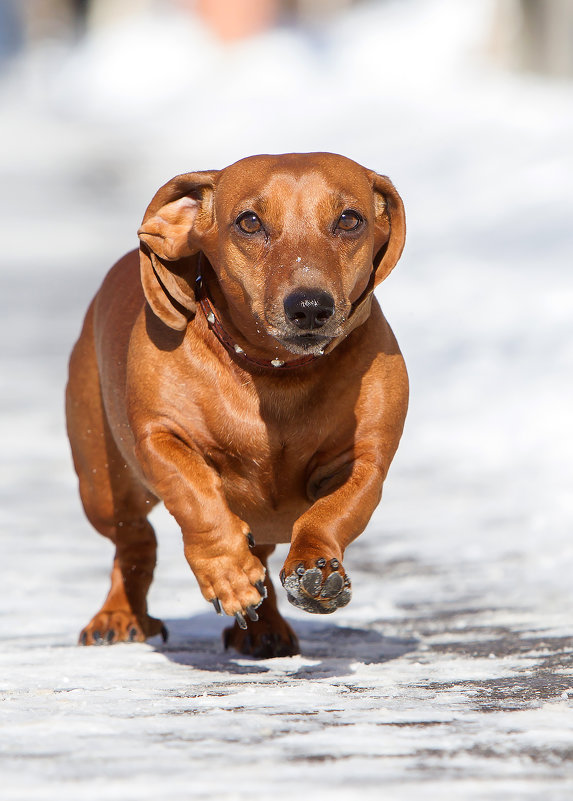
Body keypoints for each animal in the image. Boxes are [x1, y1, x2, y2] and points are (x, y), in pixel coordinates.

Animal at [66, 152, 406, 656]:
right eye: (249, 222)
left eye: (349, 220)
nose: (310, 307)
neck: (276, 372)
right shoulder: (160, 436)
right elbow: (196, 498)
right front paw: (227, 575)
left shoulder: (365, 460)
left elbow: (335, 511)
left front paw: (315, 568)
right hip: (102, 487)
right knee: (135, 541)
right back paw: (119, 614)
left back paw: (265, 628)